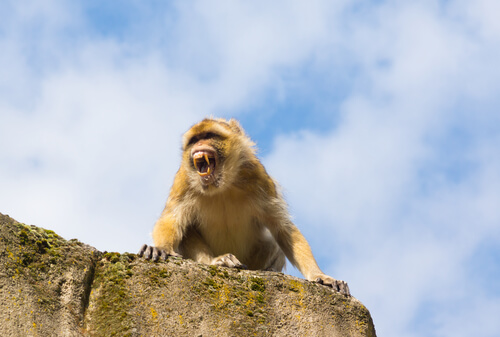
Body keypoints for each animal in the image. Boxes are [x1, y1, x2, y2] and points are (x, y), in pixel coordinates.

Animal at [139, 117, 350, 294]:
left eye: (209, 136)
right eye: (194, 140)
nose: (198, 145)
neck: (221, 185)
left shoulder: (258, 176)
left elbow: (283, 228)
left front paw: (319, 275)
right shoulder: (183, 180)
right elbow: (171, 218)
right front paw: (161, 249)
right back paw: (219, 261)